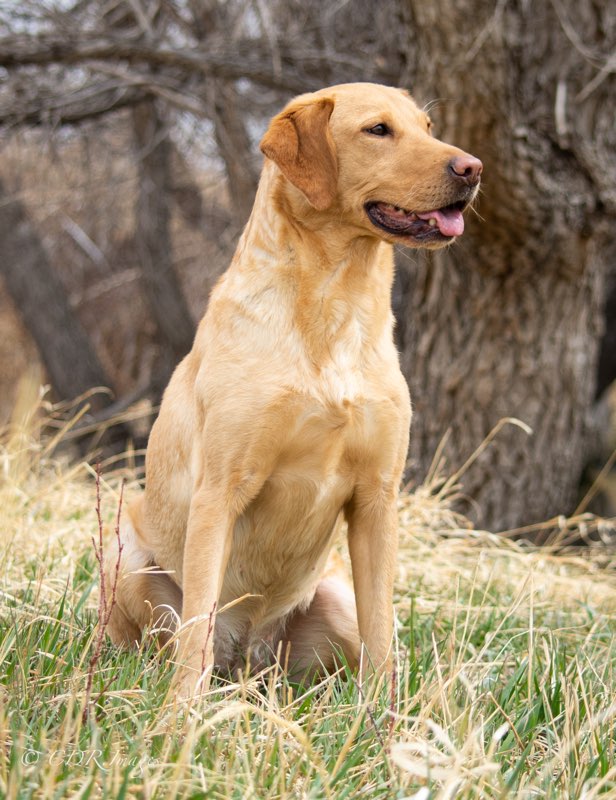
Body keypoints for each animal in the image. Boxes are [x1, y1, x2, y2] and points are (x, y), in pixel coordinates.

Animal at [104, 79, 482, 692]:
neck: (335, 304)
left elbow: (383, 638)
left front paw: (383, 714)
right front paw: (180, 713)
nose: (473, 167)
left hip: (333, 599)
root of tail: (248, 654)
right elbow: (196, 629)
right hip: (130, 559)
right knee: (179, 637)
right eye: (378, 130)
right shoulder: (220, 491)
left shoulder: (378, 499)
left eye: (427, 128)